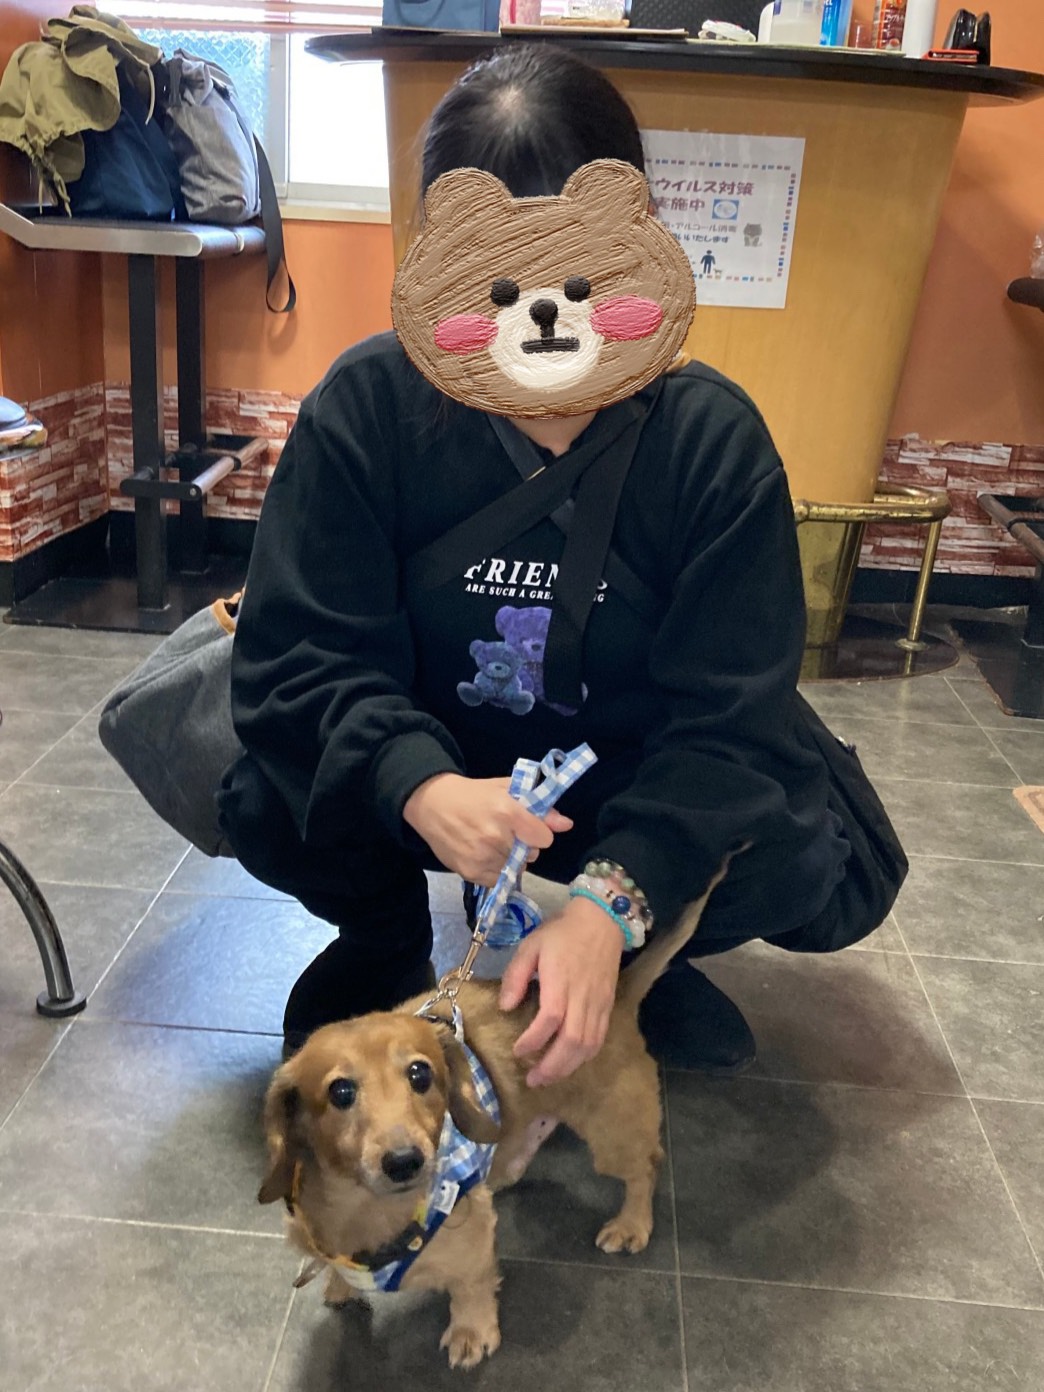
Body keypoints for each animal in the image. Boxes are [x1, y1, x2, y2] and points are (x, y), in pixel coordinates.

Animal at [258, 861, 730, 1369]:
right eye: (341, 1091)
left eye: (420, 1074)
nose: (405, 1161)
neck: (366, 1214)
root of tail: (615, 993)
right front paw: (339, 1286)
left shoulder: (472, 1245)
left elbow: (472, 1288)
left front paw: (471, 1332)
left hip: (613, 1135)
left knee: (645, 1168)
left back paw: (632, 1224)